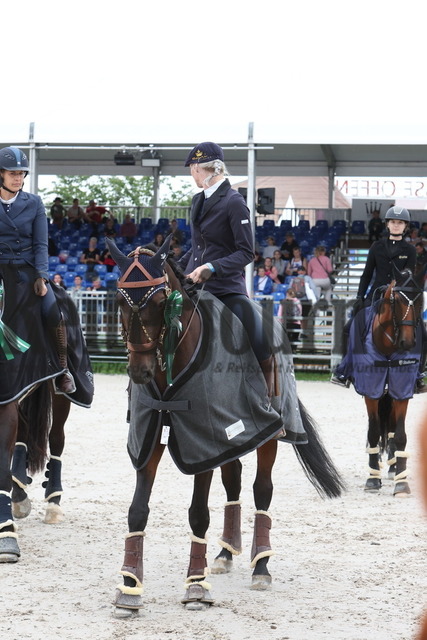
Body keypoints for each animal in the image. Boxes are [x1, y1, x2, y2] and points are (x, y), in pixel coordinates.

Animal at [107, 238, 344, 616]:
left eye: (159, 302)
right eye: (119, 300)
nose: (139, 371)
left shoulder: (201, 442)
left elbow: (198, 514)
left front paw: (196, 587)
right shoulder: (154, 440)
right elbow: (137, 512)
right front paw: (129, 588)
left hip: (267, 435)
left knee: (262, 490)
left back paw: (261, 566)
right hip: (232, 439)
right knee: (234, 483)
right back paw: (224, 552)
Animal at [352, 268, 424, 498]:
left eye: (419, 300)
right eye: (397, 300)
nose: (407, 342)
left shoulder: (401, 390)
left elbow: (400, 435)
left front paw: (402, 483)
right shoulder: (371, 392)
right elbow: (374, 432)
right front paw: (372, 479)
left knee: (392, 429)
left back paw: (394, 467)